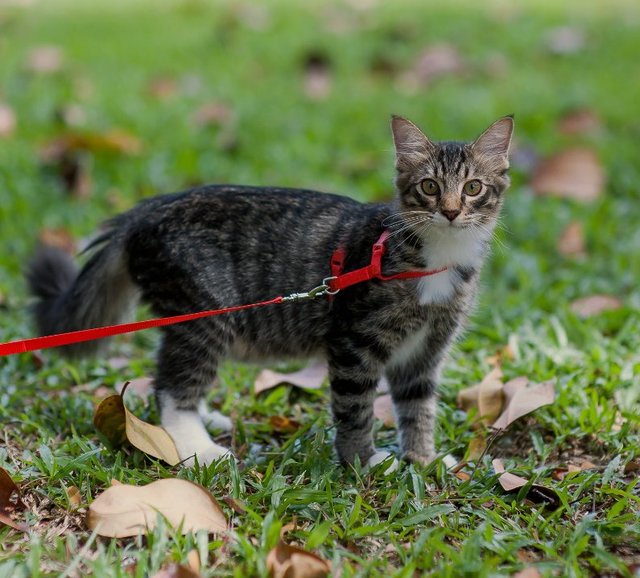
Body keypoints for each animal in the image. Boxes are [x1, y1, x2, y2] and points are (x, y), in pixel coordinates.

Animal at [27, 116, 512, 468]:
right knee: (170, 388)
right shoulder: (353, 342)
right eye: (430, 187)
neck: (438, 255)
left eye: (473, 188)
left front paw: (423, 459)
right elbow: (355, 408)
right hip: (205, 313)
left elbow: (418, 408)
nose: (451, 211)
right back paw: (199, 447)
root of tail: (140, 213)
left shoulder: (426, 351)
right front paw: (363, 461)